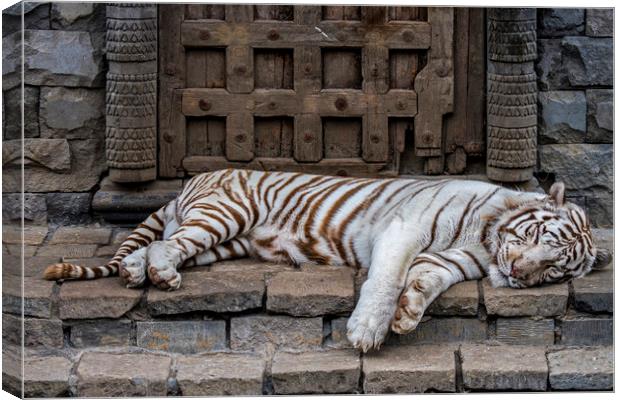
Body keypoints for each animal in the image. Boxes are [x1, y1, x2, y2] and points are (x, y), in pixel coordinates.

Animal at [44, 168, 612, 350]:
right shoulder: (405, 231)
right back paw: (156, 272)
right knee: (168, 244)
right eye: (537, 234)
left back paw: (138, 270)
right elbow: (386, 280)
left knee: (166, 244)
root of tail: (193, 179)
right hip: (224, 214)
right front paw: (368, 332)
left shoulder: (452, 260)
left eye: (554, 268)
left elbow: (426, 279)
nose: (516, 273)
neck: (486, 238)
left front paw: (407, 315)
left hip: (224, 241)